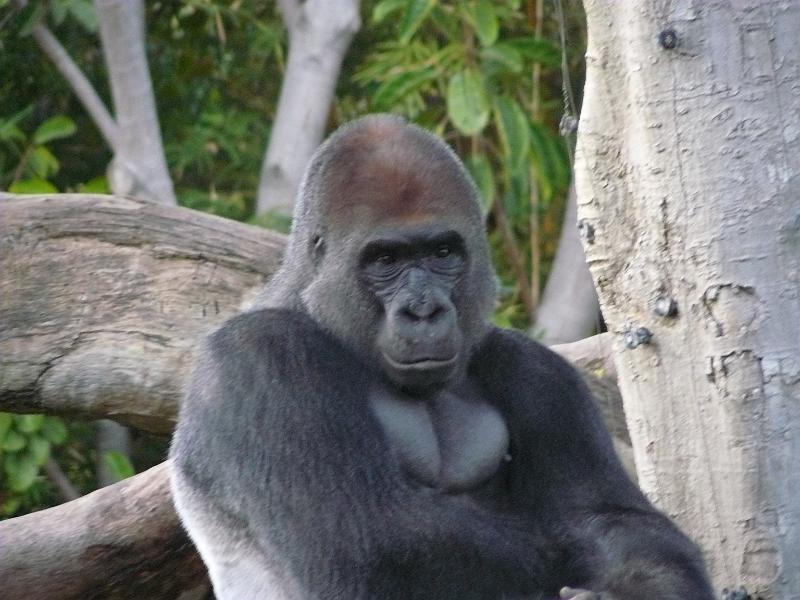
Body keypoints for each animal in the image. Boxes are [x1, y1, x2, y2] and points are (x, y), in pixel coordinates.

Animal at [170, 114, 714, 600]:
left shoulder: (537, 371)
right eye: (385, 259)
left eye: (442, 253)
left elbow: (614, 521)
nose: (424, 310)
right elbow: (371, 545)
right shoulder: (257, 359)